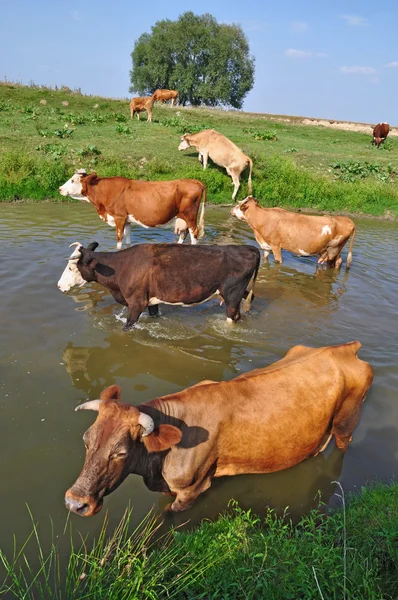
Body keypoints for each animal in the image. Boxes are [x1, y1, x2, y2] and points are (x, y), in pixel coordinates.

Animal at [56, 241, 262, 330]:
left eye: (71, 267)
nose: (58, 286)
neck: (122, 267)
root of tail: (247, 248)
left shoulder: (136, 303)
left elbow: (127, 326)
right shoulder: (151, 301)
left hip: (232, 295)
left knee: (233, 318)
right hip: (240, 291)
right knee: (250, 298)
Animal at [64, 342, 374, 516]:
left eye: (120, 453)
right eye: (86, 441)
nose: (75, 503)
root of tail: (343, 348)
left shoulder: (192, 489)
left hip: (346, 420)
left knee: (343, 444)